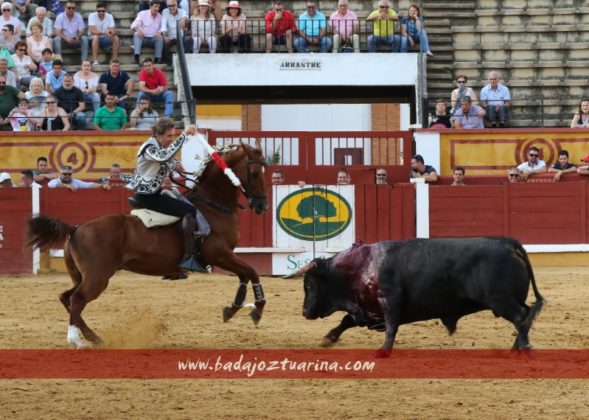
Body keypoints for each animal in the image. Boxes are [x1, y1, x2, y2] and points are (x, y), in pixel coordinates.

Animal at [25, 143, 268, 346]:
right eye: (255, 173)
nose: (262, 205)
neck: (213, 205)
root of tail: (76, 228)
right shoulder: (219, 254)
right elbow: (252, 271)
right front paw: (256, 310)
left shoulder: (225, 256)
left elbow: (245, 275)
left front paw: (233, 308)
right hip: (97, 277)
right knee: (77, 299)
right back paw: (76, 340)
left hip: (82, 276)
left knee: (67, 297)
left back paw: (94, 338)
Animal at [284, 238, 544, 356]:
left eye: (309, 284)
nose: (305, 312)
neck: (361, 267)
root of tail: (508, 243)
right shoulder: (367, 309)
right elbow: (347, 320)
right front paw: (328, 338)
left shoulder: (389, 300)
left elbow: (391, 326)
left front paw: (383, 350)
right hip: (509, 299)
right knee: (527, 314)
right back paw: (516, 347)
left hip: (501, 300)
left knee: (521, 317)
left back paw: (523, 347)